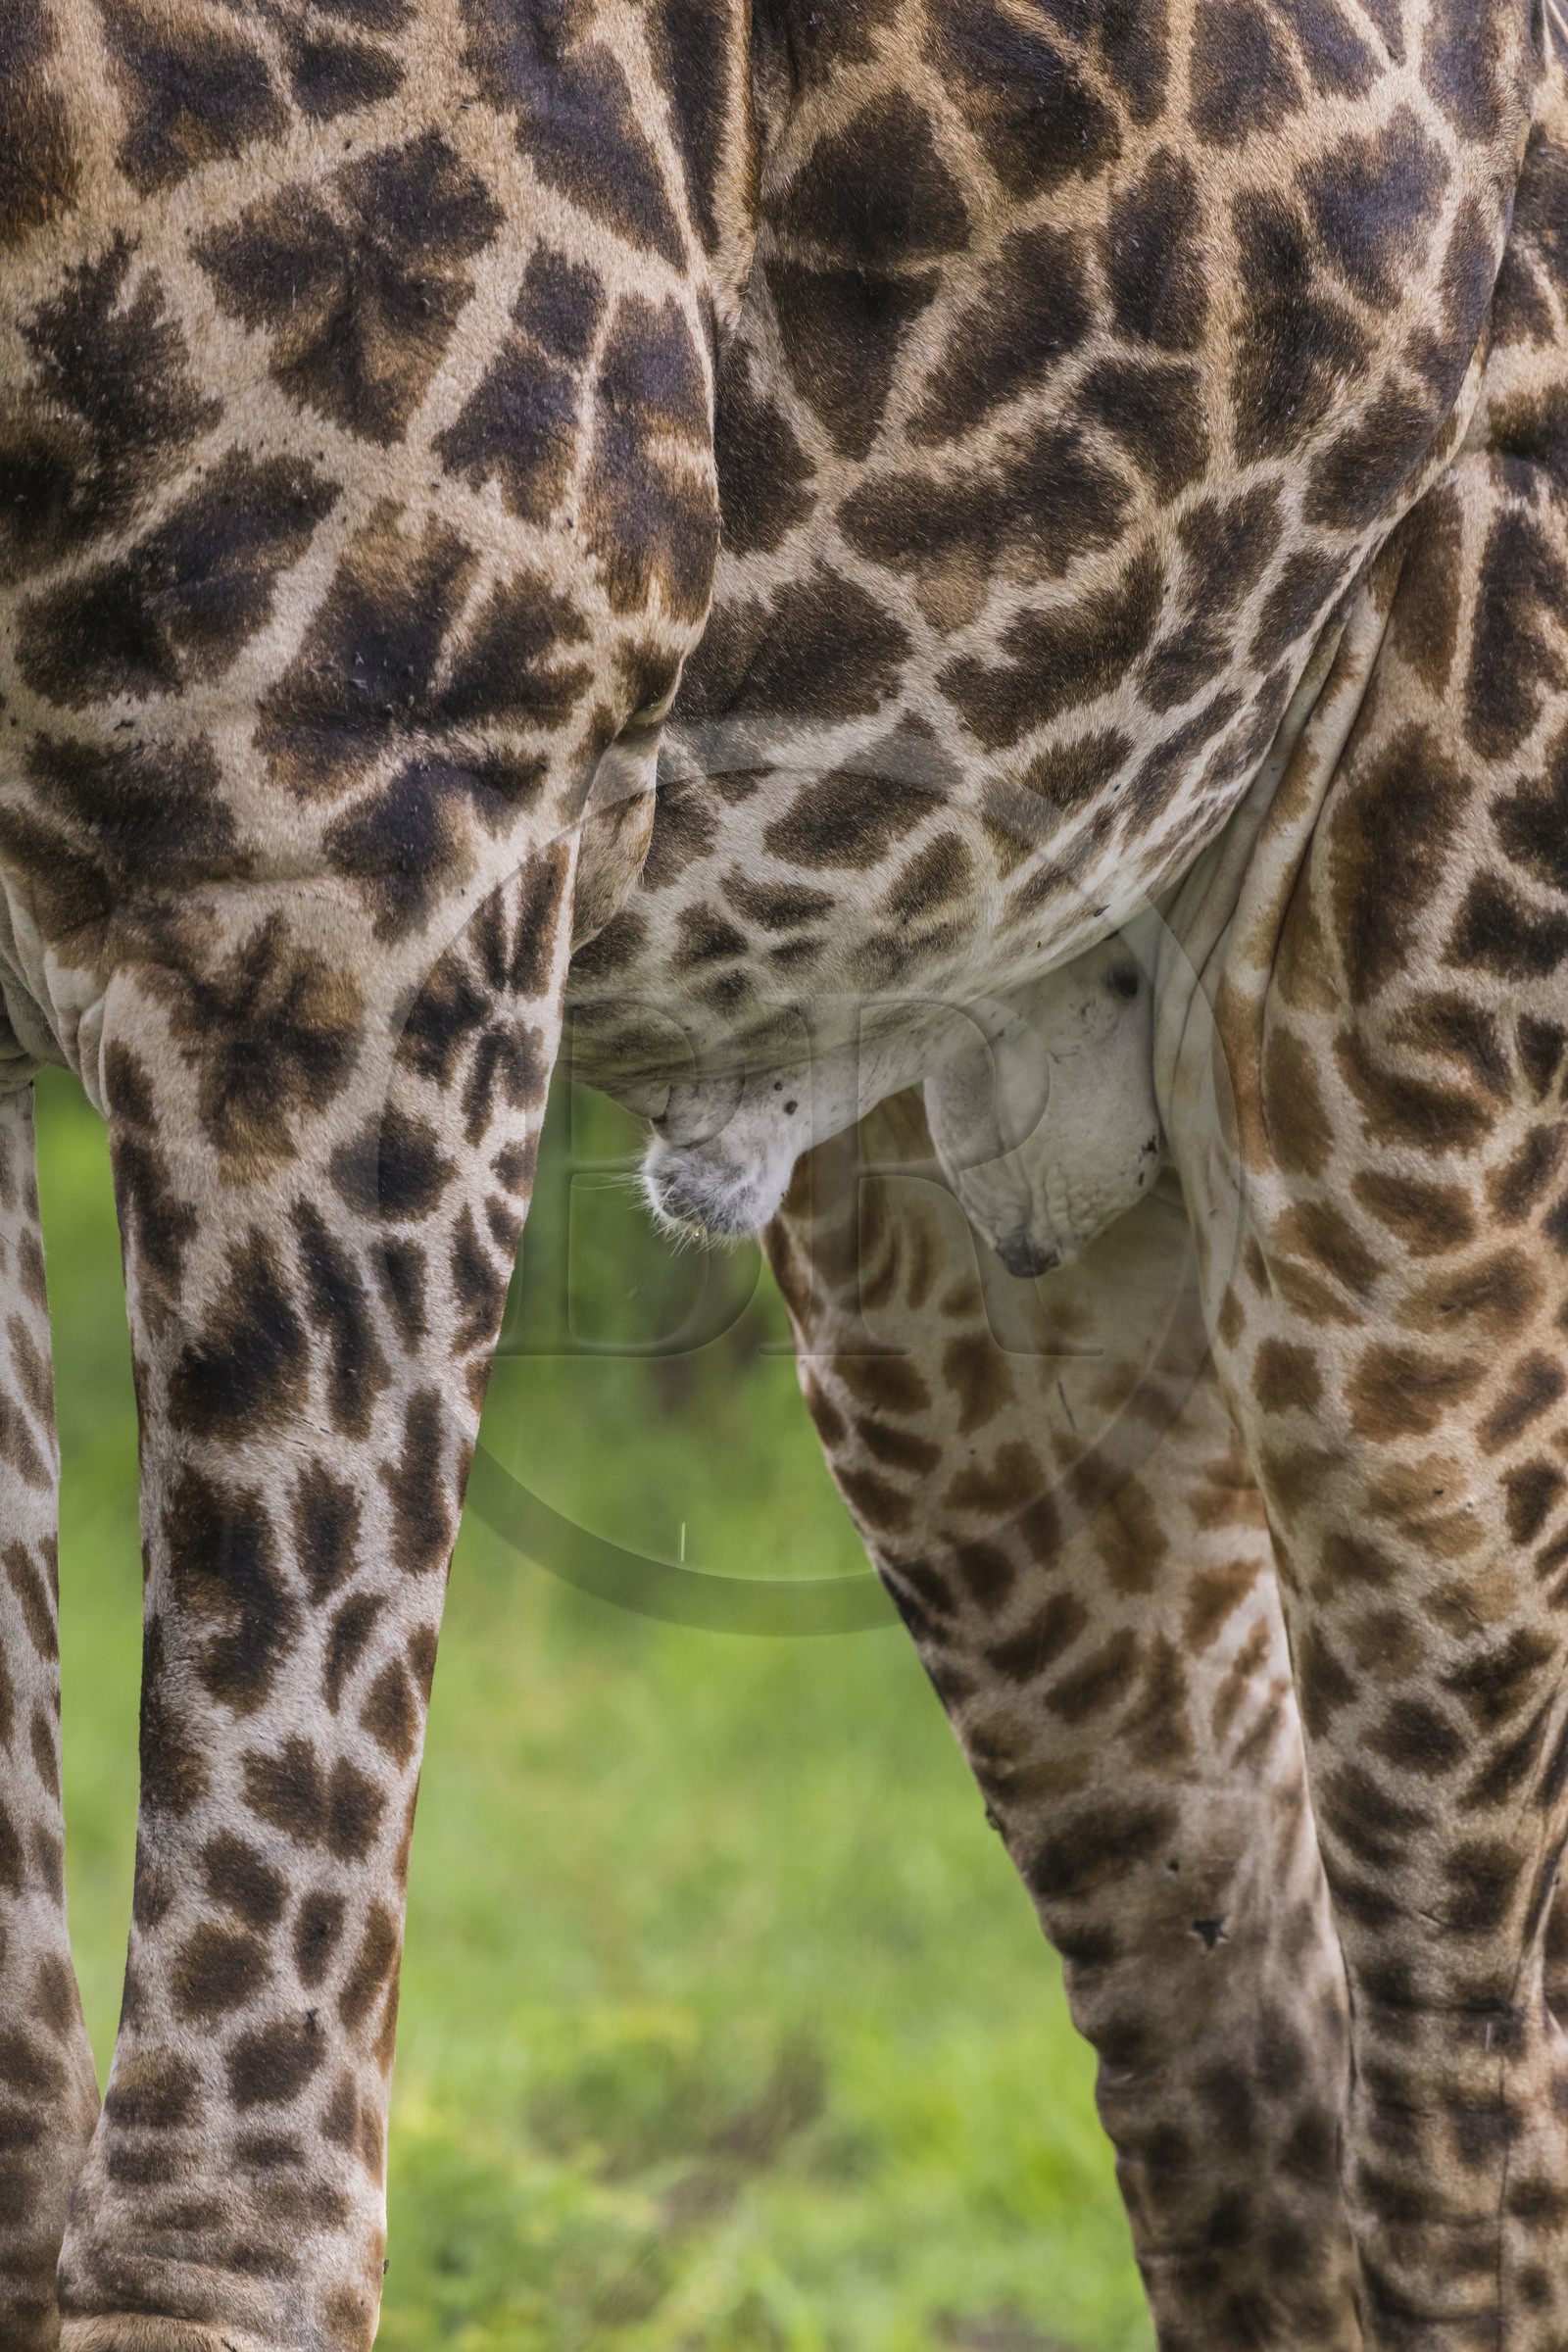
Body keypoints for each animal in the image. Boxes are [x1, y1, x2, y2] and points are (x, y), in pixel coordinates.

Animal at [0, 5, 1557, 2352]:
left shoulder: (358, 843)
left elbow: (229, 2200)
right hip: (980, 1229)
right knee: (1245, 2051)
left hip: (1424, 1089)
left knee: (1473, 2126)